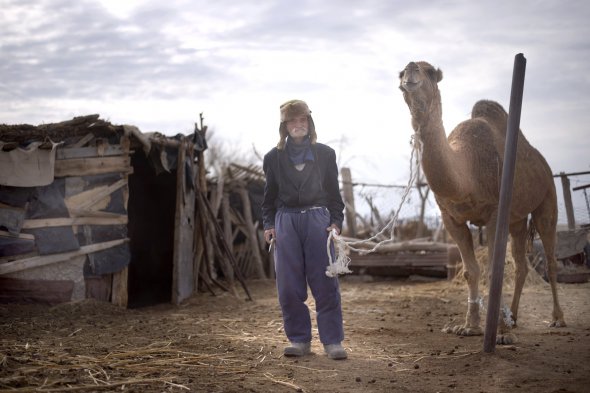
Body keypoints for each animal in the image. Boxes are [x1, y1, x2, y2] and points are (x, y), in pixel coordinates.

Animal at [400, 61, 568, 344]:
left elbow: (493, 270)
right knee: (521, 265)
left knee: (551, 258)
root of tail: (542, 162)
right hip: (517, 220)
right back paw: (514, 317)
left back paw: (557, 319)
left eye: (430, 71)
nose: (411, 69)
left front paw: (499, 333)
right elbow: (471, 270)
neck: (467, 170)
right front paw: (469, 326)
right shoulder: (451, 218)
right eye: (400, 74)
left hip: (547, 198)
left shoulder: (494, 213)